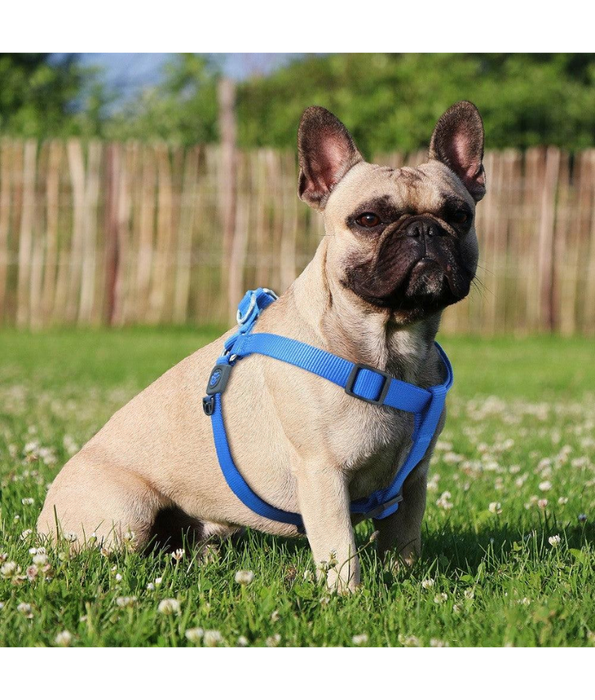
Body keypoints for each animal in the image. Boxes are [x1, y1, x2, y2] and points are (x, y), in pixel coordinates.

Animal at [37, 100, 486, 592]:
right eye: (368, 220)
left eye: (459, 215)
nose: (424, 230)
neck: (391, 345)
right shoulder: (323, 474)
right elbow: (341, 550)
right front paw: (347, 597)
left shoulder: (412, 483)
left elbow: (403, 544)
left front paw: (407, 584)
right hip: (127, 512)